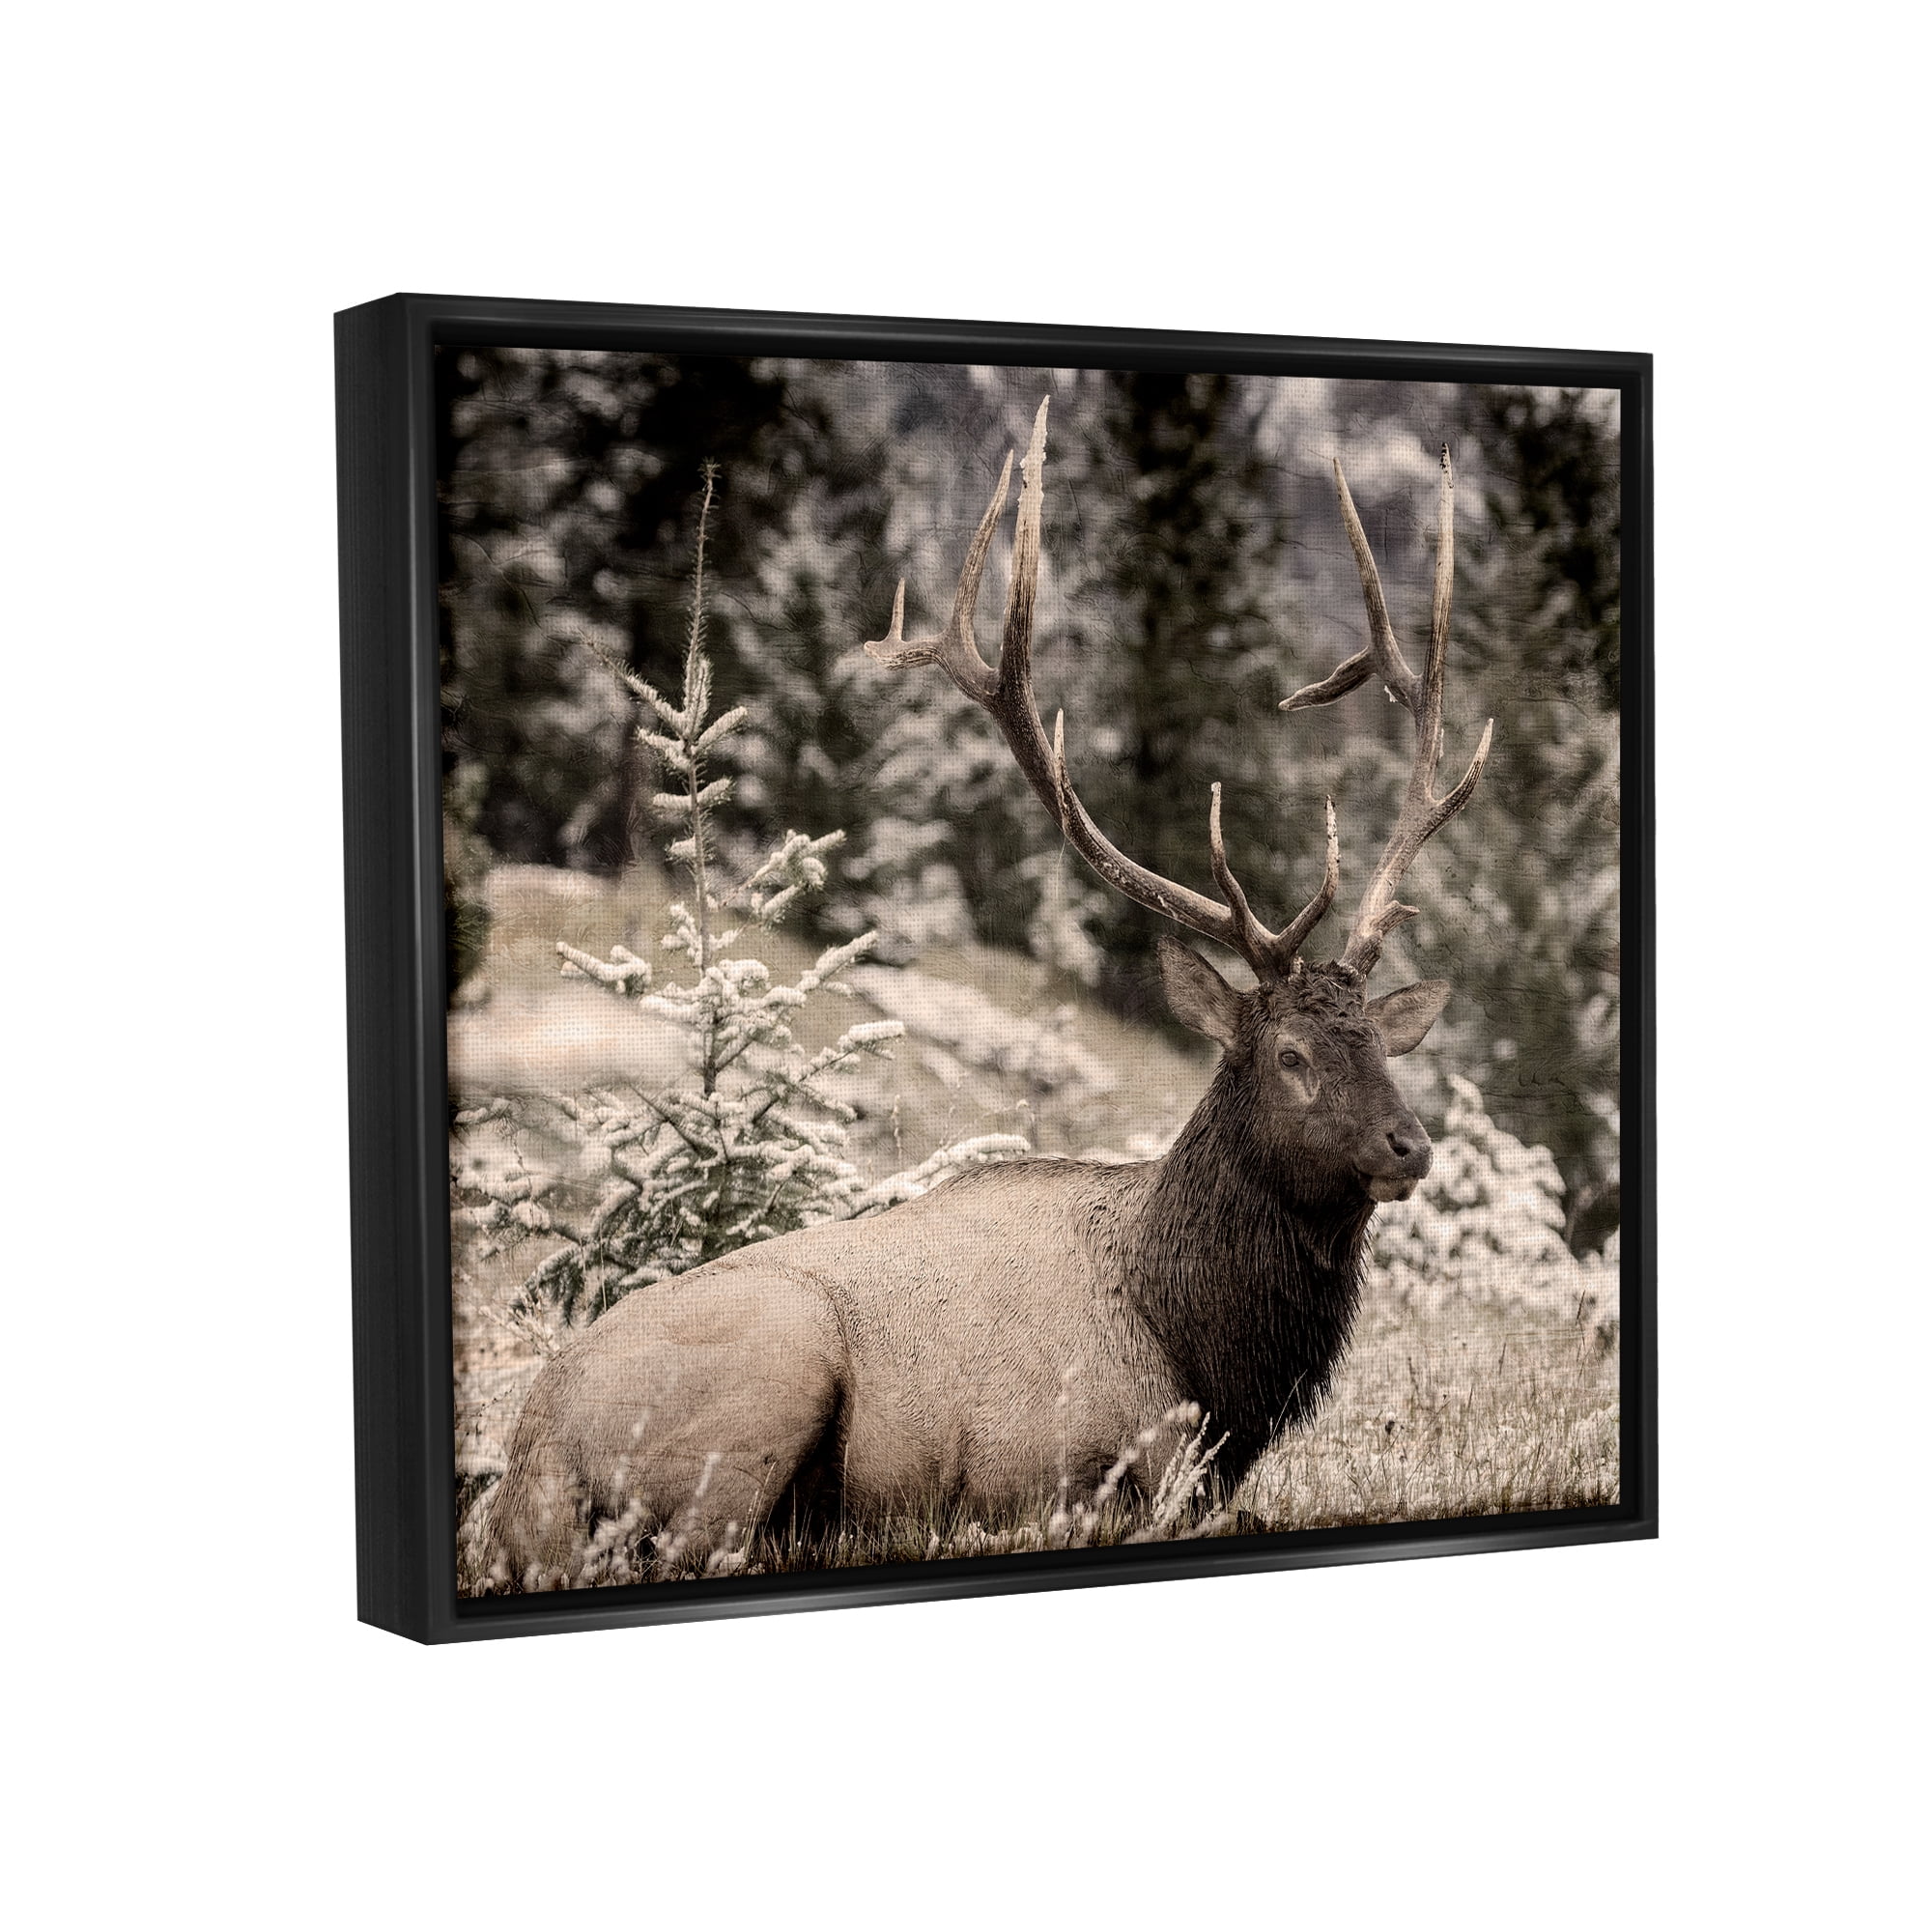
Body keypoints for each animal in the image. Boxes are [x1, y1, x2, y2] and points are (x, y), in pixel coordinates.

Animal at [483, 398, 1492, 1589]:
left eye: (1381, 1044)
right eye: (1289, 1054)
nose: (1407, 1144)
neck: (1204, 1351)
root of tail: (526, 1464)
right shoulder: (1071, 1458)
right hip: (772, 1364)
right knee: (706, 1546)